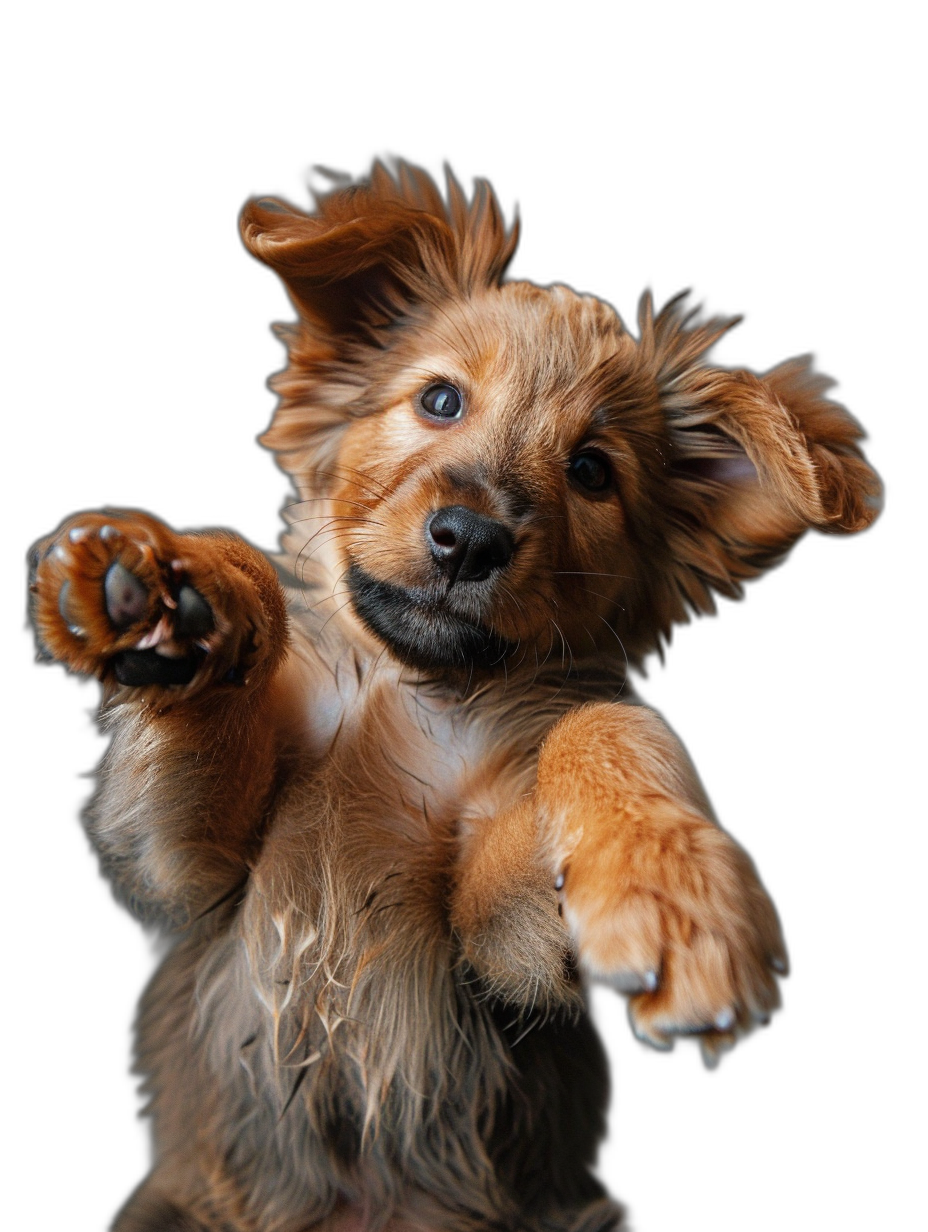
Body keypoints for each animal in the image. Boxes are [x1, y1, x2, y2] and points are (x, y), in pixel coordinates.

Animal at [30, 166, 882, 1232]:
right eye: (440, 399)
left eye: (592, 471)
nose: (469, 539)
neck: (412, 692)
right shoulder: (190, 872)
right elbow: (217, 685)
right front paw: (181, 592)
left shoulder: (497, 947)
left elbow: (604, 725)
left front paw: (665, 884)